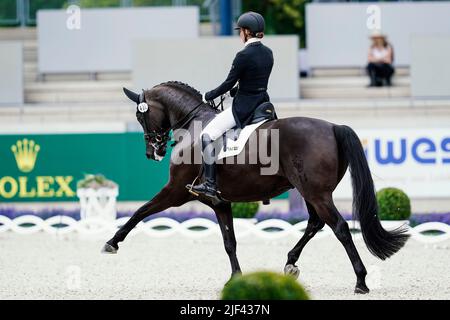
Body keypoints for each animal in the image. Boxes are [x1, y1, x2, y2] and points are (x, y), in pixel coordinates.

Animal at [103, 81, 412, 294]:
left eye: (141, 116)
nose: (151, 152)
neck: (193, 126)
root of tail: (333, 126)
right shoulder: (219, 202)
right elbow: (229, 242)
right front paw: (236, 279)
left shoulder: (176, 191)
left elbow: (140, 212)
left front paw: (112, 242)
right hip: (309, 191)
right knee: (315, 223)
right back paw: (290, 263)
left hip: (316, 193)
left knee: (340, 228)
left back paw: (360, 280)